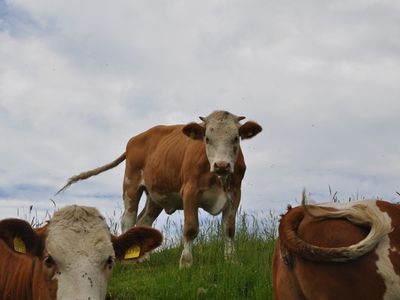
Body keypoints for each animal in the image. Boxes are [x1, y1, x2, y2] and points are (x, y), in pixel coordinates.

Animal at [57, 110, 262, 268]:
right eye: (207, 138)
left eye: (236, 138)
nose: (222, 165)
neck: (217, 177)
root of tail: (136, 138)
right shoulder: (190, 191)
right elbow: (191, 228)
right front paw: (186, 263)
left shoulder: (235, 194)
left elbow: (229, 229)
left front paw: (232, 261)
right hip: (131, 184)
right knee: (128, 219)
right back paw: (127, 261)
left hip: (155, 196)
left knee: (144, 221)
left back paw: (143, 258)